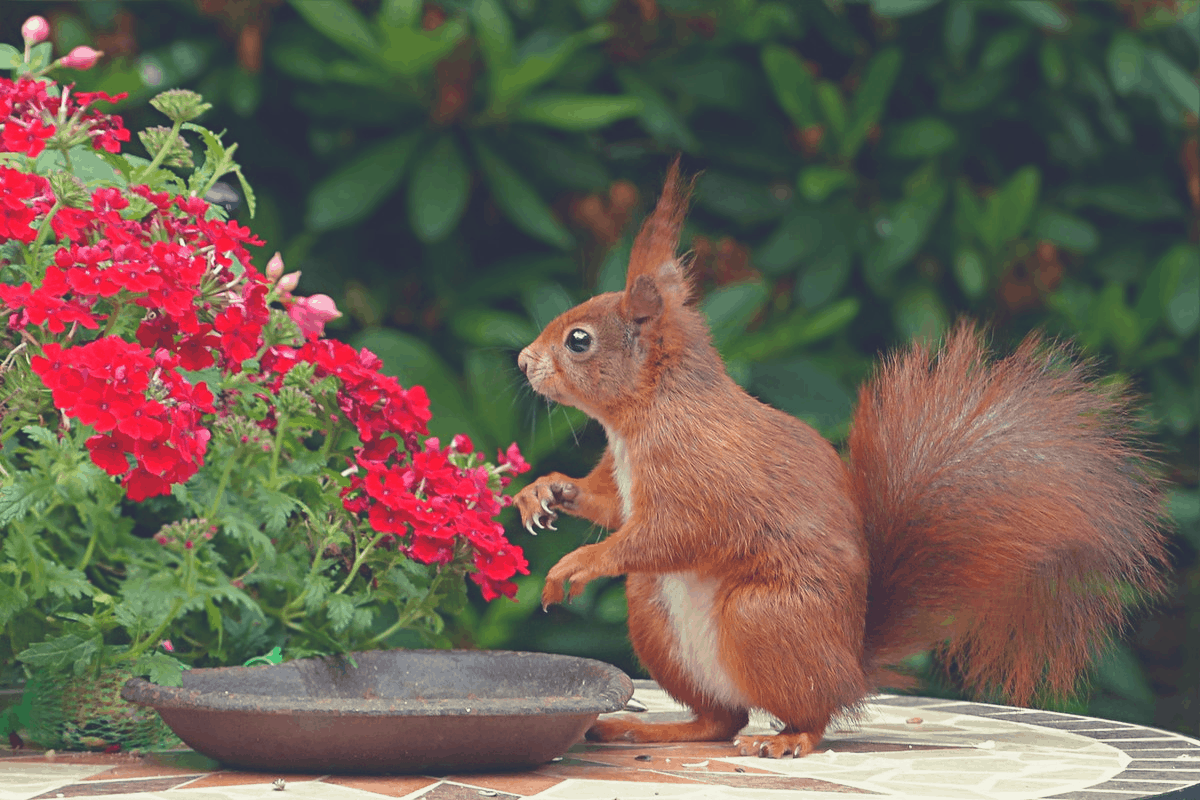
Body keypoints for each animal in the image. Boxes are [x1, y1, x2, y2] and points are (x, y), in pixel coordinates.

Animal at [513, 160, 1161, 758]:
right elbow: (610, 505)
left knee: (807, 713)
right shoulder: (624, 479)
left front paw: (579, 562)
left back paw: (787, 739)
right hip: (654, 612)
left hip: (762, 617)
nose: (522, 361)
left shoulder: (702, 470)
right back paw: (645, 728)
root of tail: (851, 666)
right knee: (721, 719)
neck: (644, 414)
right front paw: (544, 491)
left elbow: (676, 531)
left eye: (578, 340)